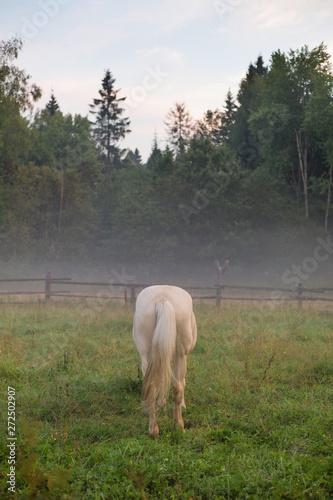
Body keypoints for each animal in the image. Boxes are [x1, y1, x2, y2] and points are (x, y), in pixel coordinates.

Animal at [132, 286, 196, 438]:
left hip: (147, 355)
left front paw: (162, 404)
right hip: (180, 356)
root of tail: (162, 299)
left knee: (151, 388)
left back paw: (153, 430)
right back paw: (179, 427)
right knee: (177, 387)